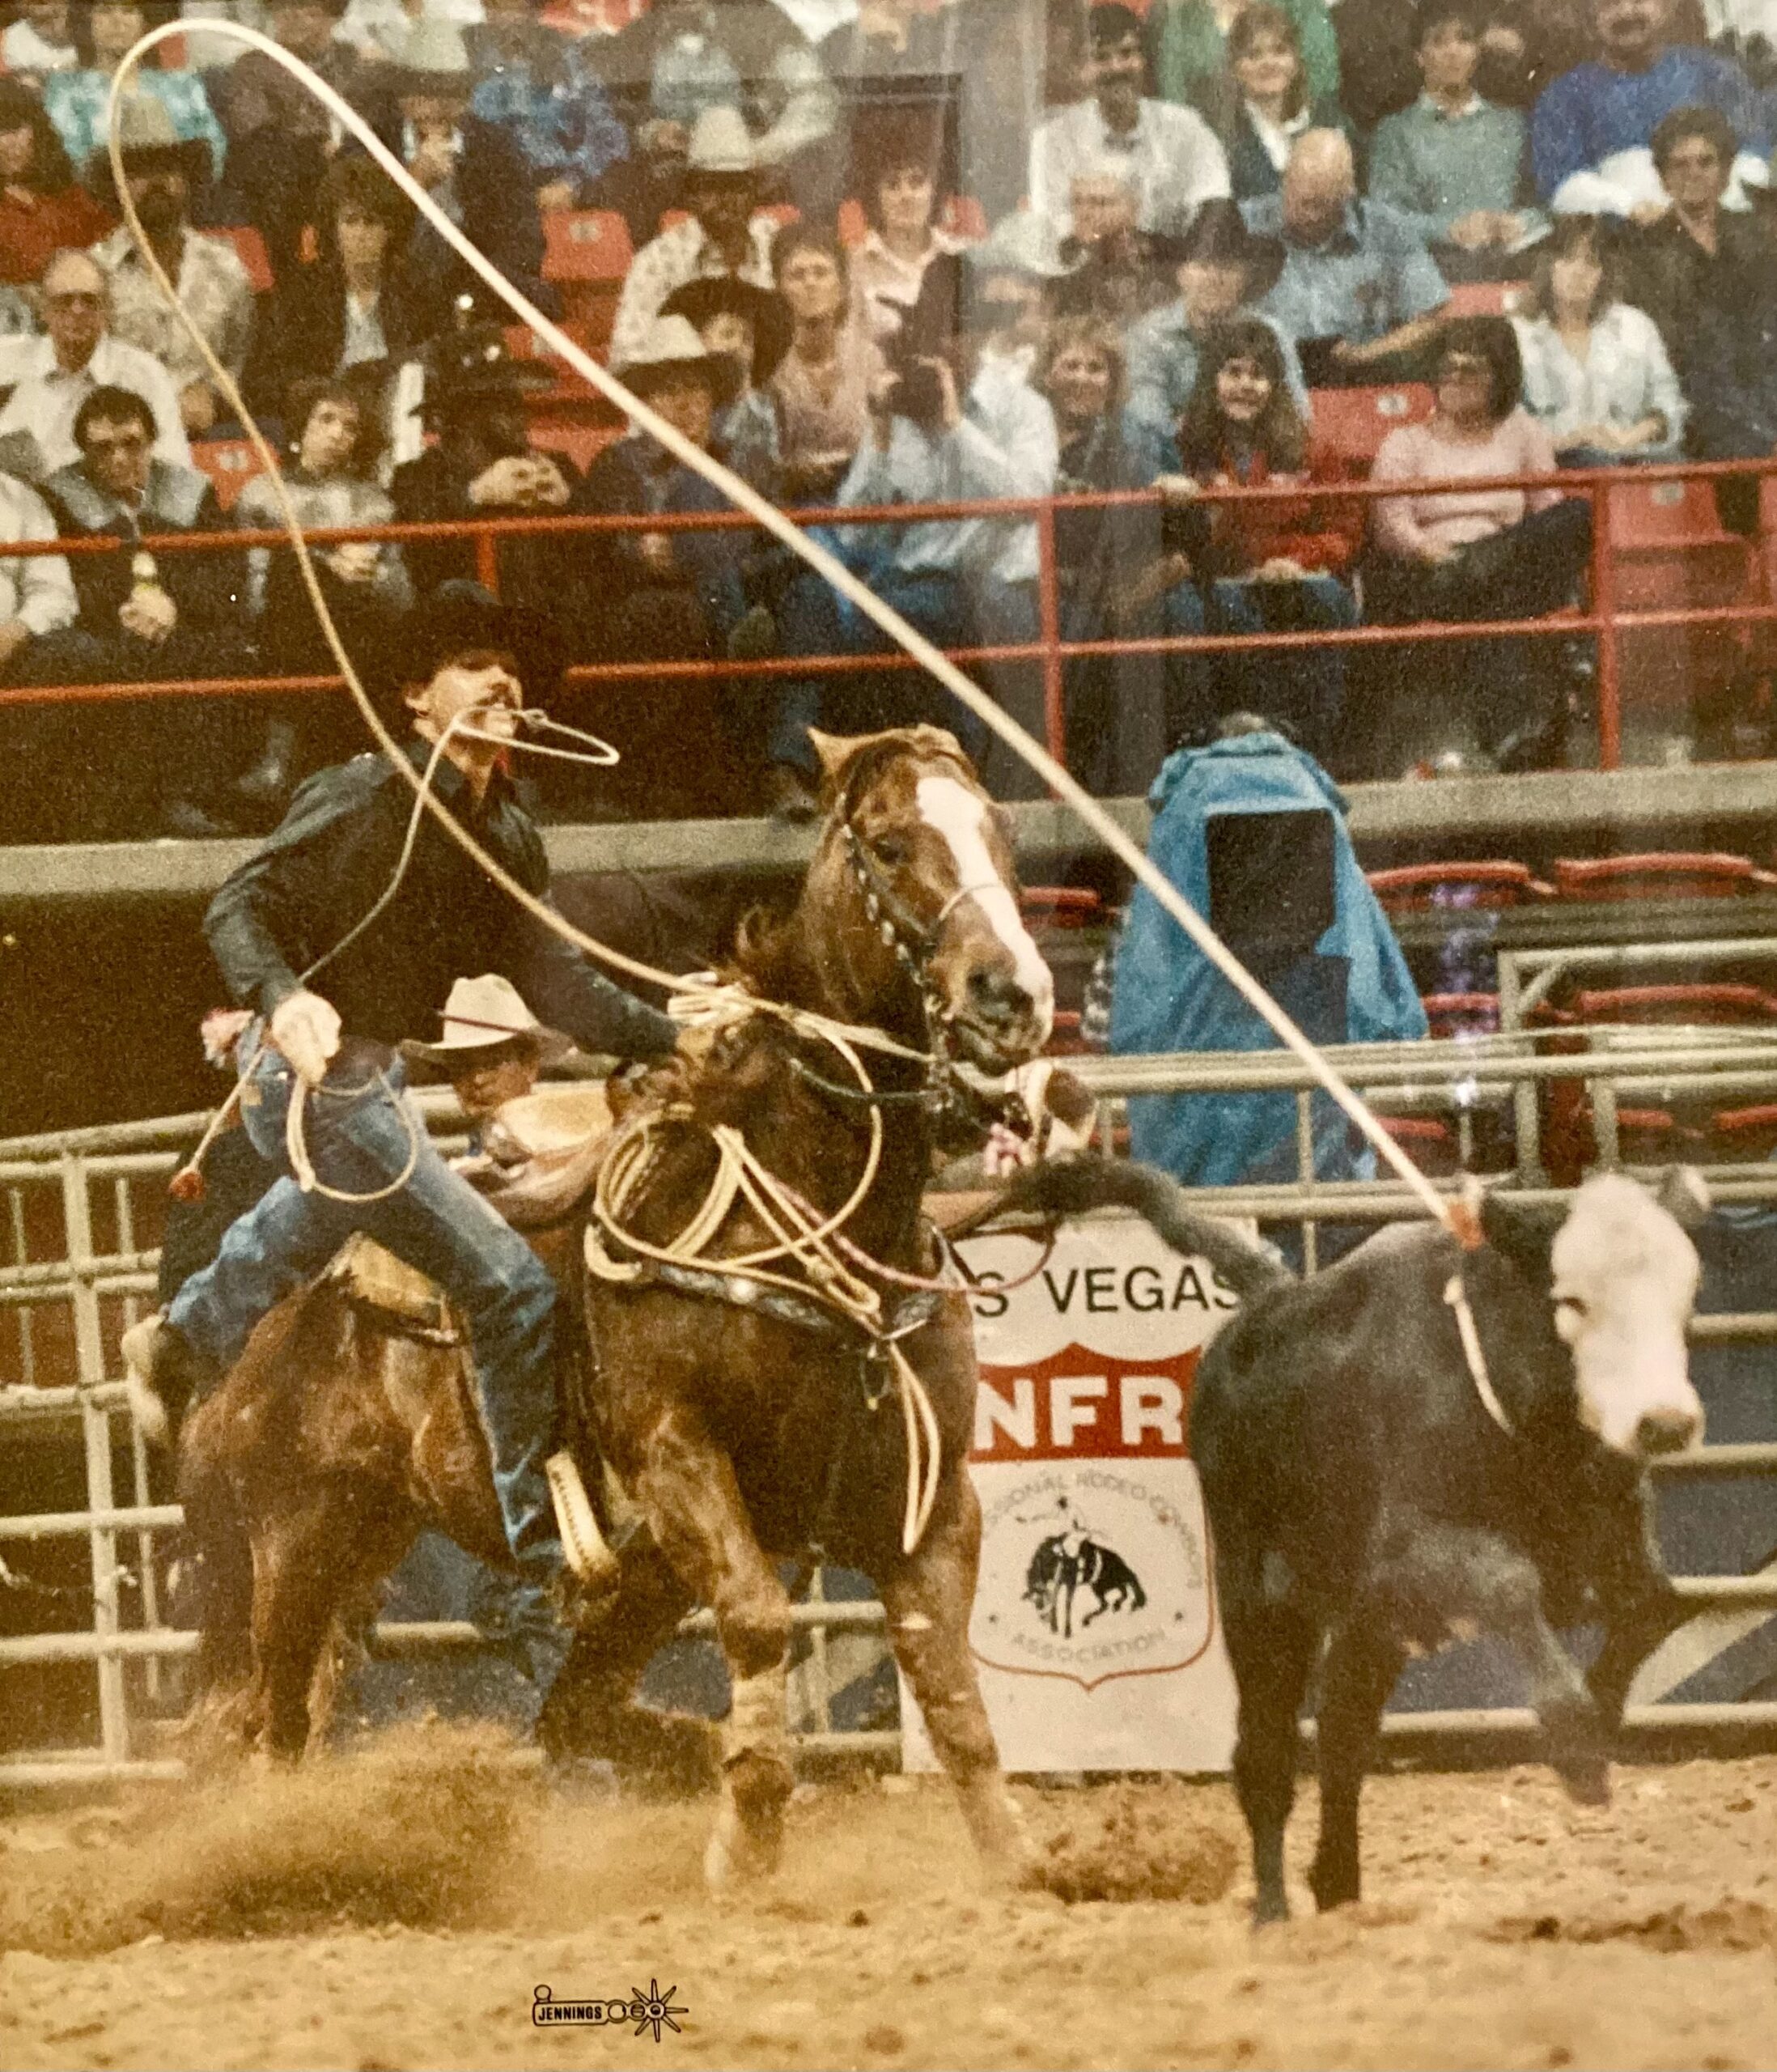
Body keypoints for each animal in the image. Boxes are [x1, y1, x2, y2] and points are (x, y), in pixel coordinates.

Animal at [176, 733, 1052, 1897]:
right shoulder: (676, 1454)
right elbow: (761, 1621)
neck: (808, 1197)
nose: (1015, 994)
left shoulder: (933, 1499)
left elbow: (951, 1693)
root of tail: (253, 1339)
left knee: (564, 1715)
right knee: (265, 1729)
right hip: (291, 1550)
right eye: (892, 844)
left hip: (545, 1568)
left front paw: (1017, 1858)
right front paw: (746, 1836)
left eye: (1001, 829)